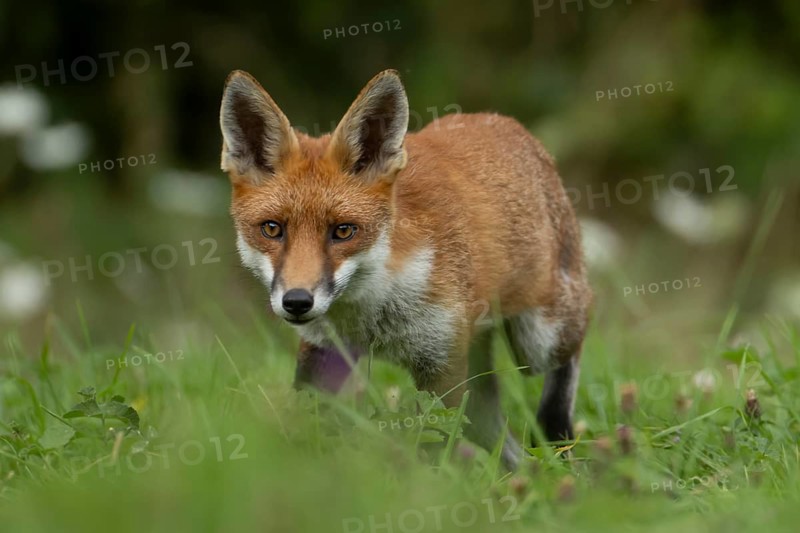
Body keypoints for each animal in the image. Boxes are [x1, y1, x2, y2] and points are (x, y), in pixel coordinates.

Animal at [219, 69, 592, 469]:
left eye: (343, 231)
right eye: (272, 229)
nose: (297, 302)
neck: (373, 310)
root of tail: (508, 123)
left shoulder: (441, 363)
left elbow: (435, 443)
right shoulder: (324, 351)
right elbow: (307, 430)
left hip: (537, 341)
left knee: (572, 350)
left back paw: (558, 437)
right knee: (492, 430)